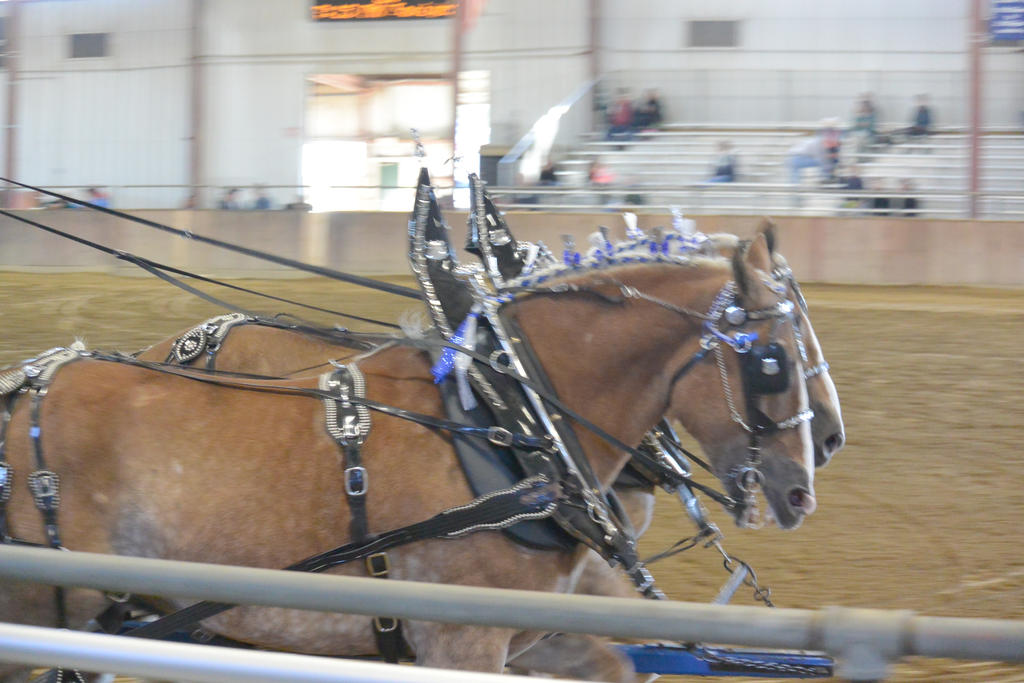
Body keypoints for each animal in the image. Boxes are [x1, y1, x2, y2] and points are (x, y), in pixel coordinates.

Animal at [0, 233, 815, 679]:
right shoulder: (464, 637)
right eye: (775, 361)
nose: (806, 482)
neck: (511, 425)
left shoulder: (543, 623)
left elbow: (618, 659)